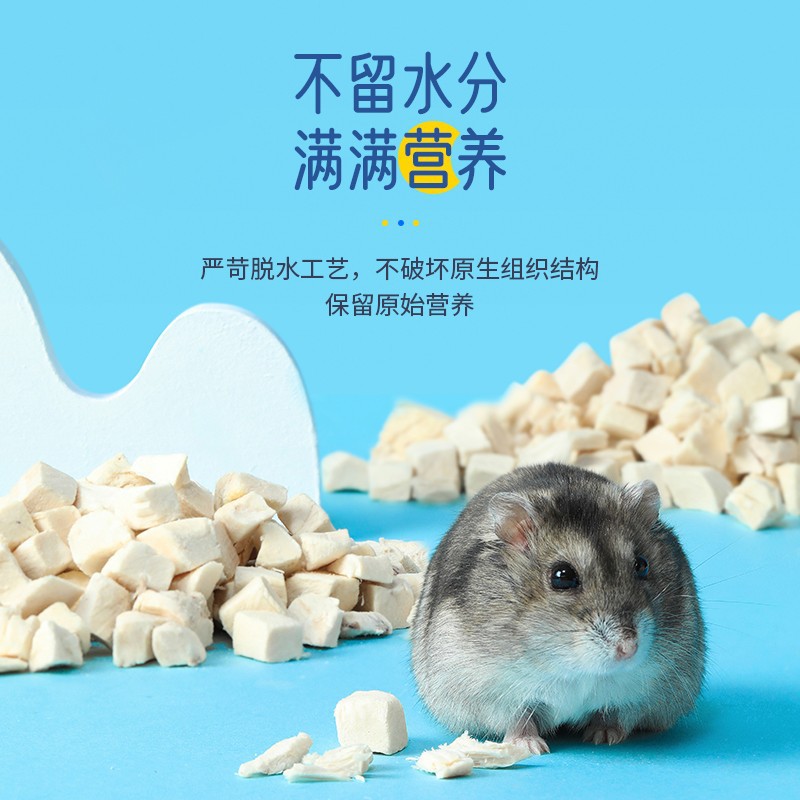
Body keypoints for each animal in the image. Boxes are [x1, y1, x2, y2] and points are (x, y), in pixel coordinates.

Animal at [411, 463, 705, 754]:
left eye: (642, 565)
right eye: (562, 576)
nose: (628, 648)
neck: (573, 666)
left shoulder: (646, 690)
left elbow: (615, 713)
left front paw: (604, 736)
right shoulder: (494, 692)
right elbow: (518, 720)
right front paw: (531, 747)